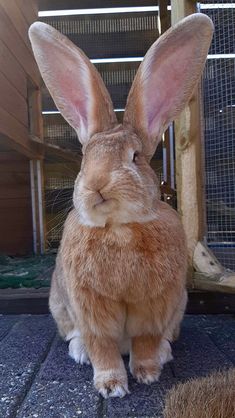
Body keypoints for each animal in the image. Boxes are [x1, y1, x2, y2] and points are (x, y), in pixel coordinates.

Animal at [28, 13, 214, 398]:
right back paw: (80, 352)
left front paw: (147, 373)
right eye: (86, 158)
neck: (118, 229)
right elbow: (102, 345)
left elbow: (145, 339)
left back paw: (164, 354)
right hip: (60, 305)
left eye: (135, 157)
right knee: (77, 336)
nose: (98, 184)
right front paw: (112, 386)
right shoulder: (90, 307)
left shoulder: (154, 305)